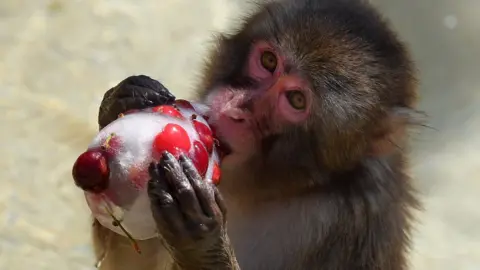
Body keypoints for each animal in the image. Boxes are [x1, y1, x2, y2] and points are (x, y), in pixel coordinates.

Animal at [93, 0, 420, 268]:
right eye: (268, 61)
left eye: (296, 100)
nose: (235, 109)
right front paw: (121, 101)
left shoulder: (356, 224)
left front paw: (200, 242)